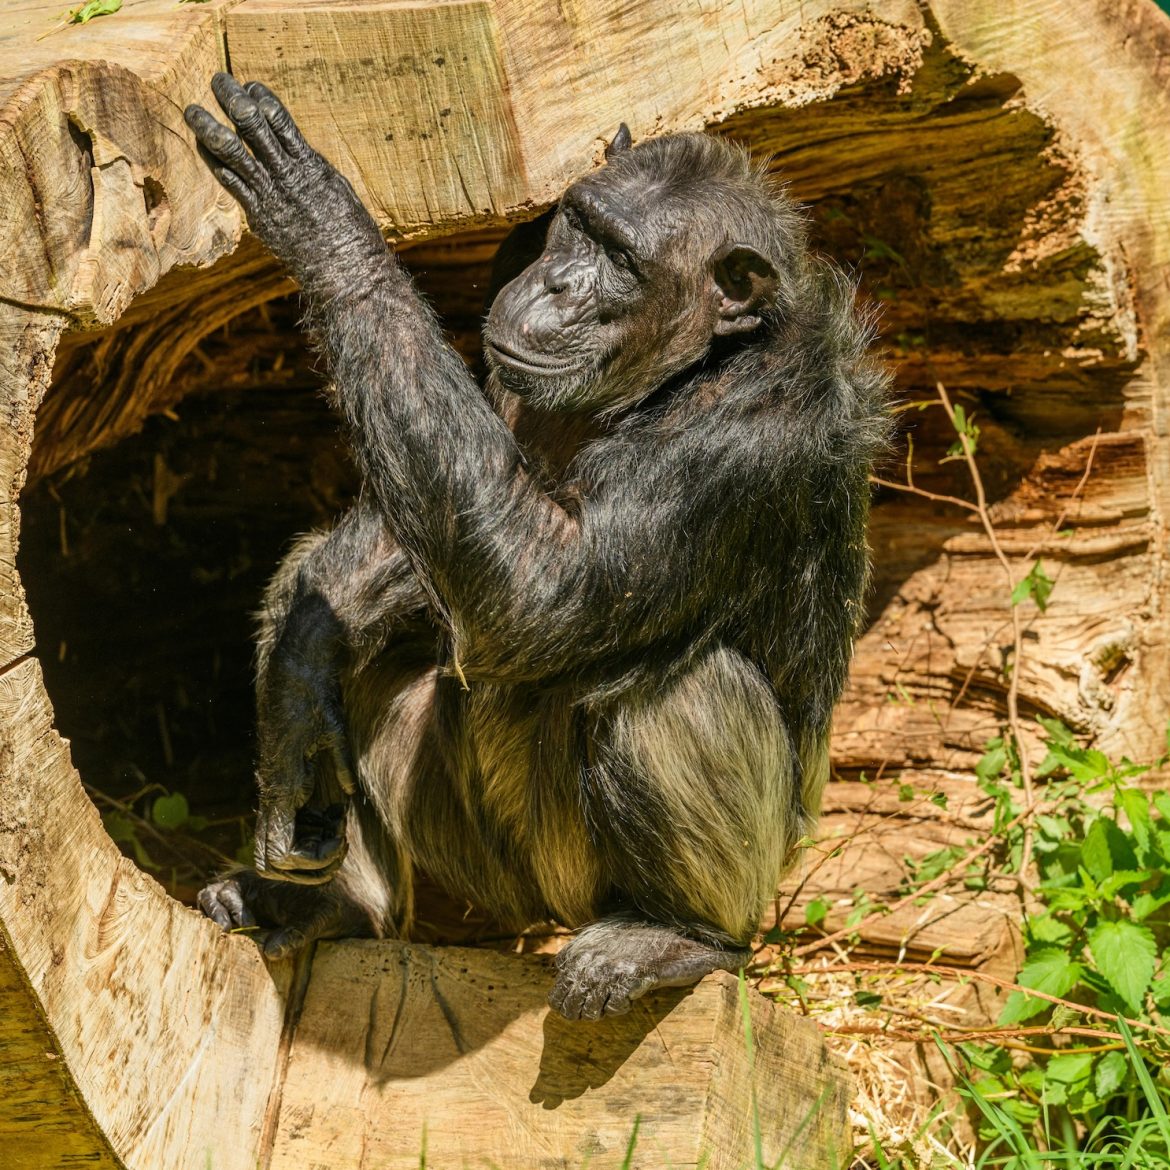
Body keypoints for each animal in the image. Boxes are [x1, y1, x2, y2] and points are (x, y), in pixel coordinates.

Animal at [184, 73, 884, 1020]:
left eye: (622, 261)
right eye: (579, 224)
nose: (554, 284)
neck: (685, 368)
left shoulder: (751, 435)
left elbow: (542, 589)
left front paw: (321, 220)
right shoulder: (504, 391)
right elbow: (439, 519)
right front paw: (298, 698)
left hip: (635, 887)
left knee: (675, 690)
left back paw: (672, 935)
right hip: (482, 863)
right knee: (328, 580)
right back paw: (336, 899)